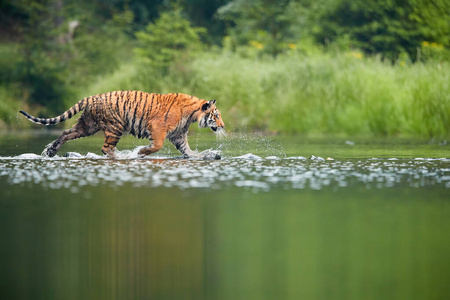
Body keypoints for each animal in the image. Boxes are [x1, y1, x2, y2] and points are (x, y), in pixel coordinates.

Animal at [20, 90, 225, 158]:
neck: (192, 114)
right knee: (106, 148)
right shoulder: (158, 127)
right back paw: (121, 156)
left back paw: (51, 150)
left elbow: (187, 150)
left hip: (87, 126)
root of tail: (91, 97)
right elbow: (157, 145)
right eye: (216, 116)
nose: (223, 126)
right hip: (115, 127)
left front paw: (200, 156)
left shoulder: (178, 135)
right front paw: (141, 152)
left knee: (65, 133)